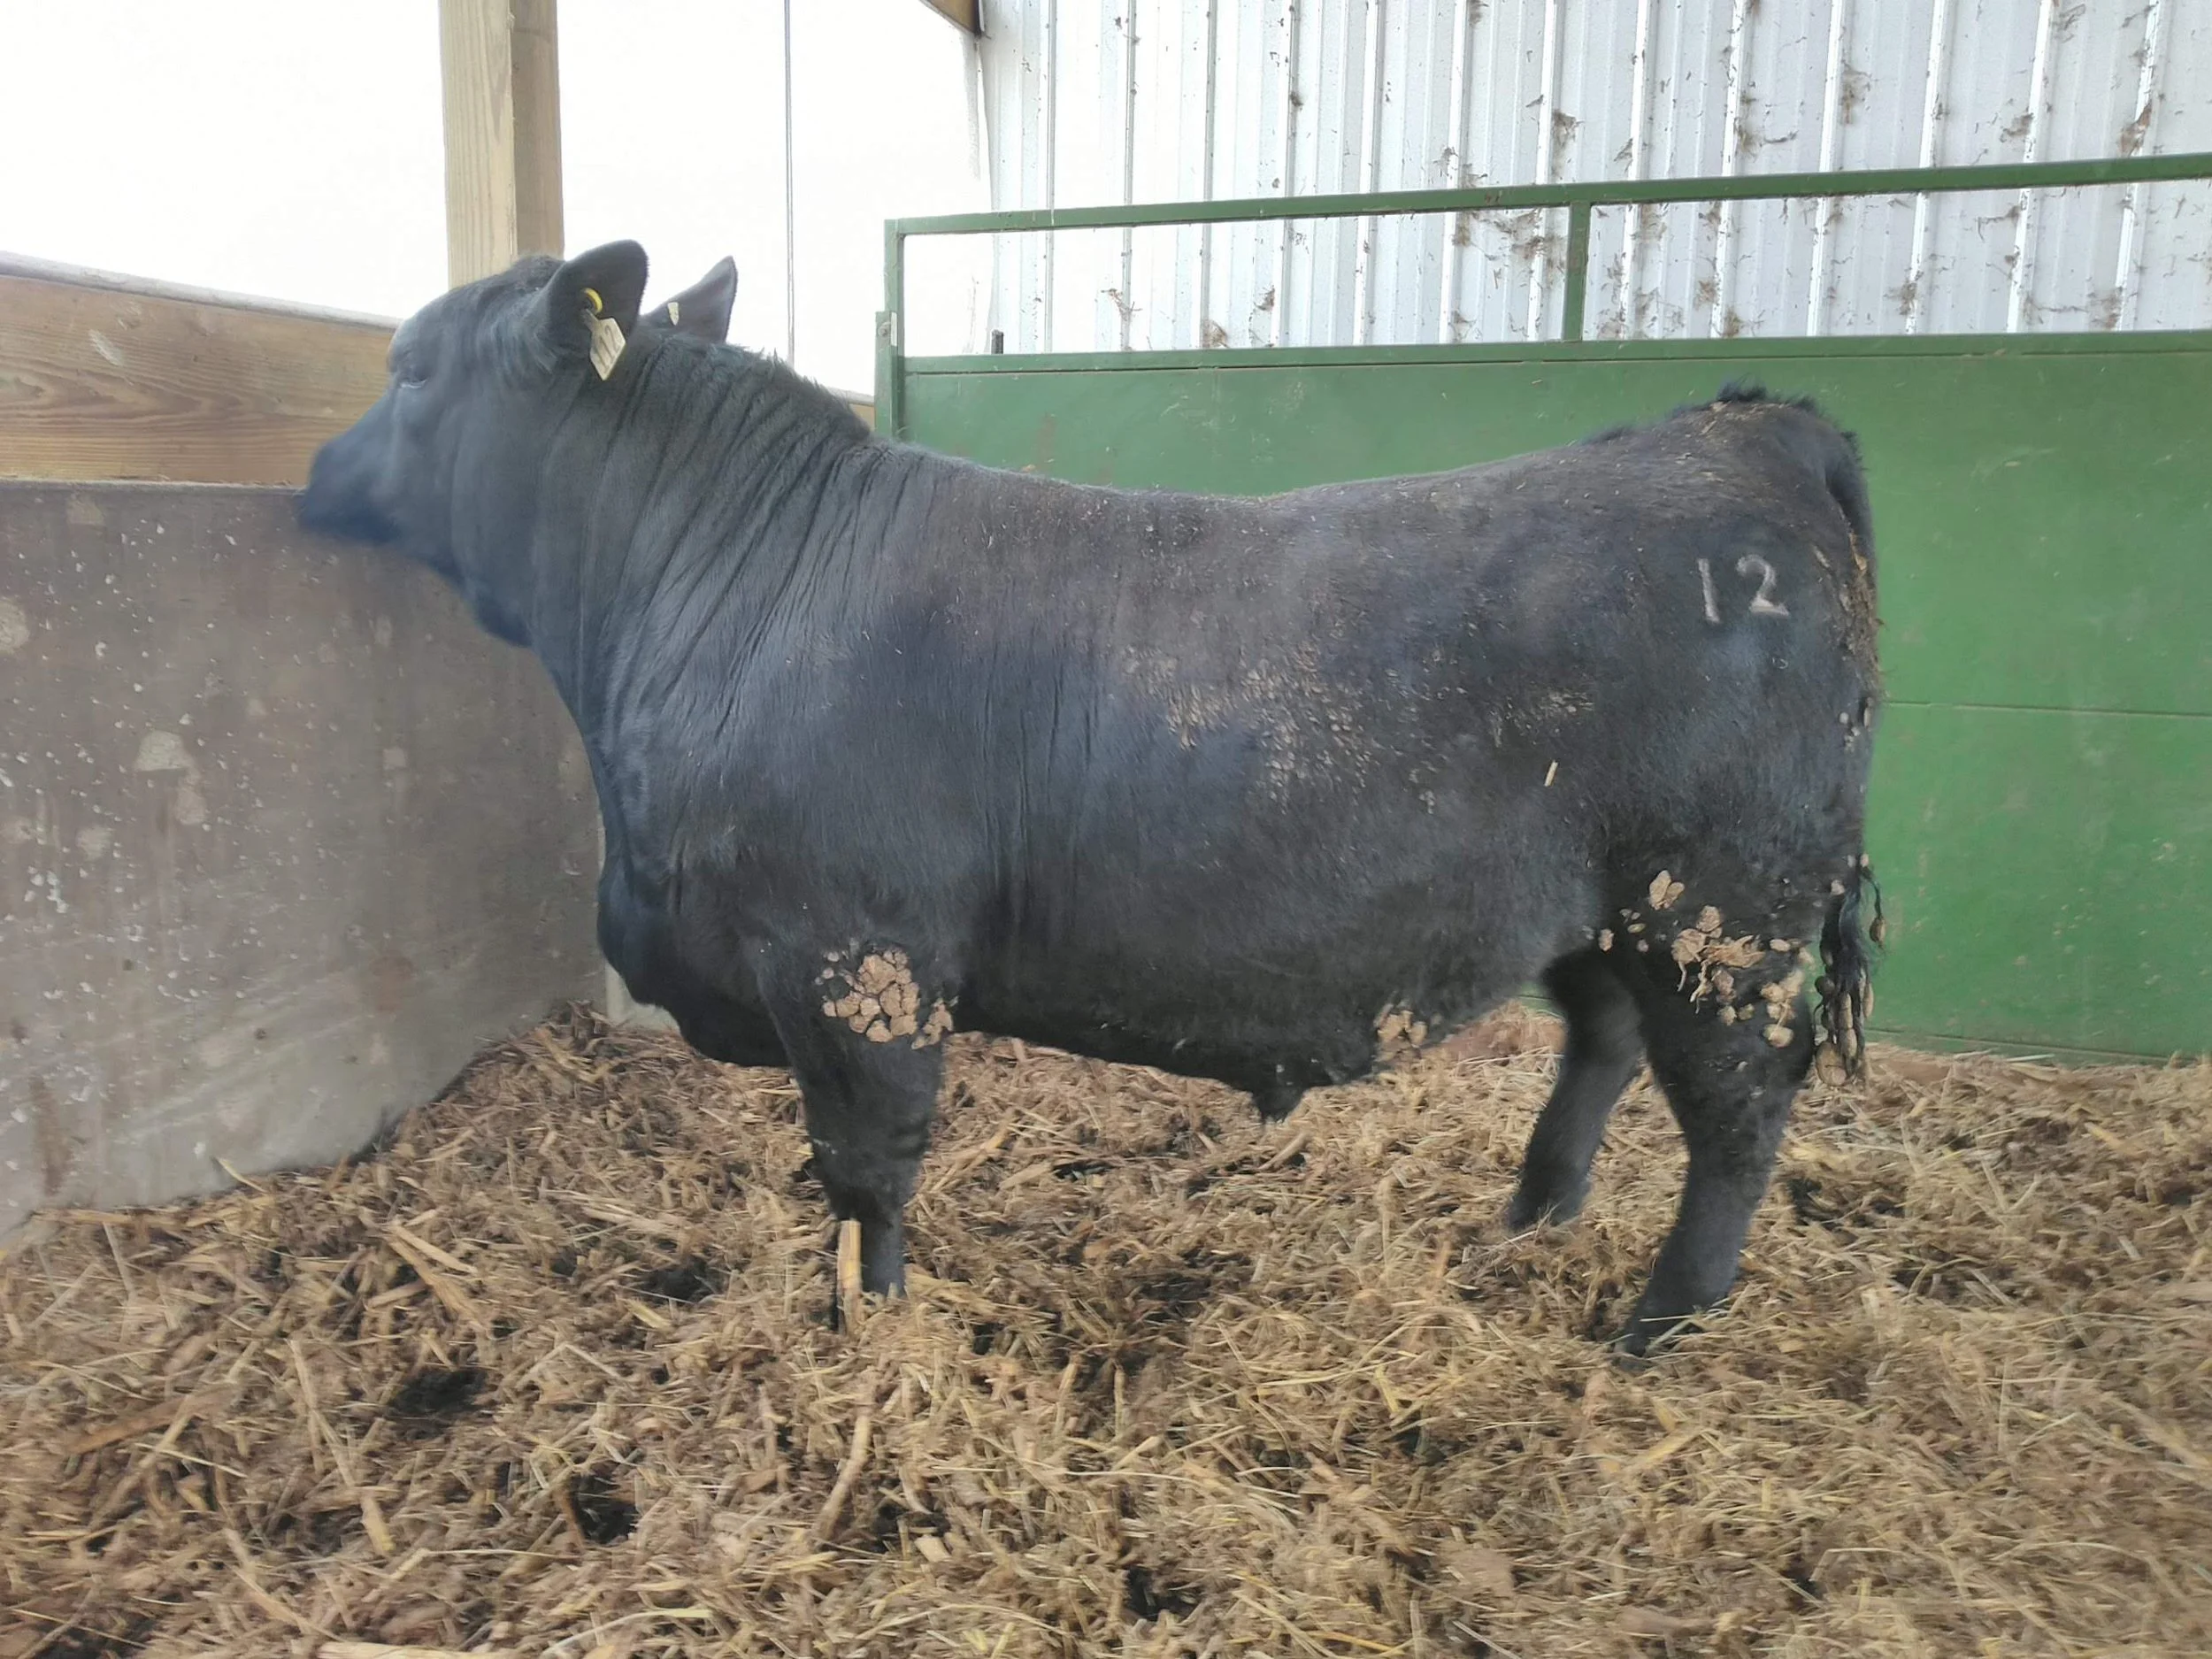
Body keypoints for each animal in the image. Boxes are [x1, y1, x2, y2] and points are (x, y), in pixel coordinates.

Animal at [299, 241, 1882, 1355]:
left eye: (411, 367)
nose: (313, 470)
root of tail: (1745, 430)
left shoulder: (856, 965)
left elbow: (866, 1166)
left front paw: (869, 1331)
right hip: (1622, 910)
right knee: (1600, 1050)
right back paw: (1530, 1225)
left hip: (1730, 912)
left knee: (1740, 1116)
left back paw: (1659, 1323)